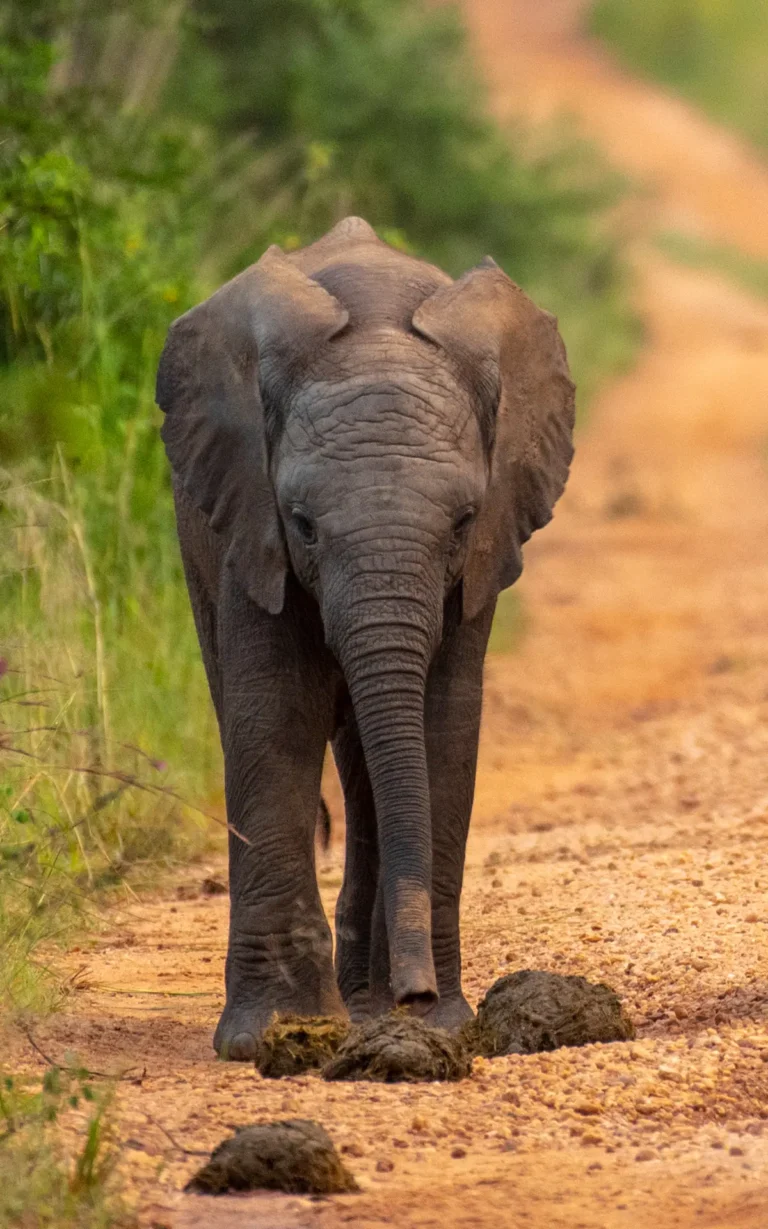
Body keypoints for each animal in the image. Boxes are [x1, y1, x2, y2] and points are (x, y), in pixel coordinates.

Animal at [155, 216, 575, 1060]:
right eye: (305, 525)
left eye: (463, 522)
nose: (418, 992)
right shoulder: (254, 522)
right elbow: (275, 710)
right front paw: (273, 1033)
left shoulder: (479, 562)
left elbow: (444, 723)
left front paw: (433, 1024)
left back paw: (367, 1001)